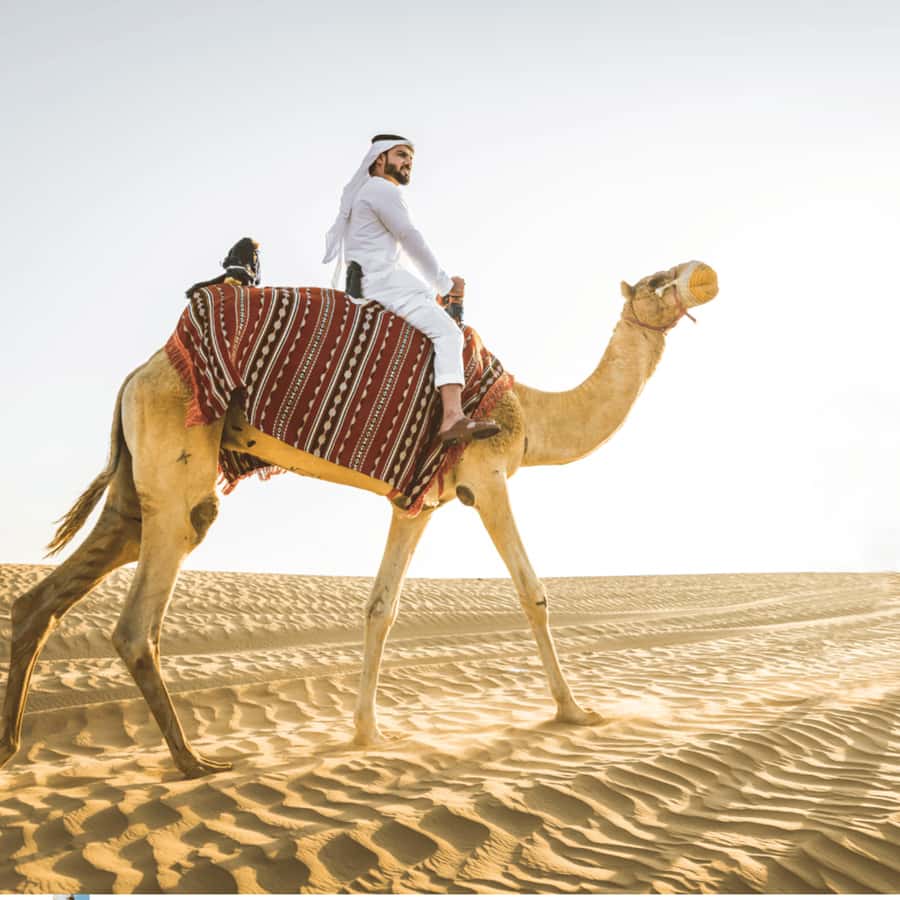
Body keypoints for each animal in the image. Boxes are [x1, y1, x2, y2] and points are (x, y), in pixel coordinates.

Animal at [0, 260, 718, 778]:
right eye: (657, 282)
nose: (700, 274)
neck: (530, 416)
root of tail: (137, 373)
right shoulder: (486, 478)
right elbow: (532, 593)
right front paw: (574, 711)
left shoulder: (417, 499)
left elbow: (381, 607)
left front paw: (367, 732)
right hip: (178, 460)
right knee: (139, 618)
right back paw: (194, 762)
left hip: (136, 484)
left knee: (58, 587)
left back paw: (11, 747)